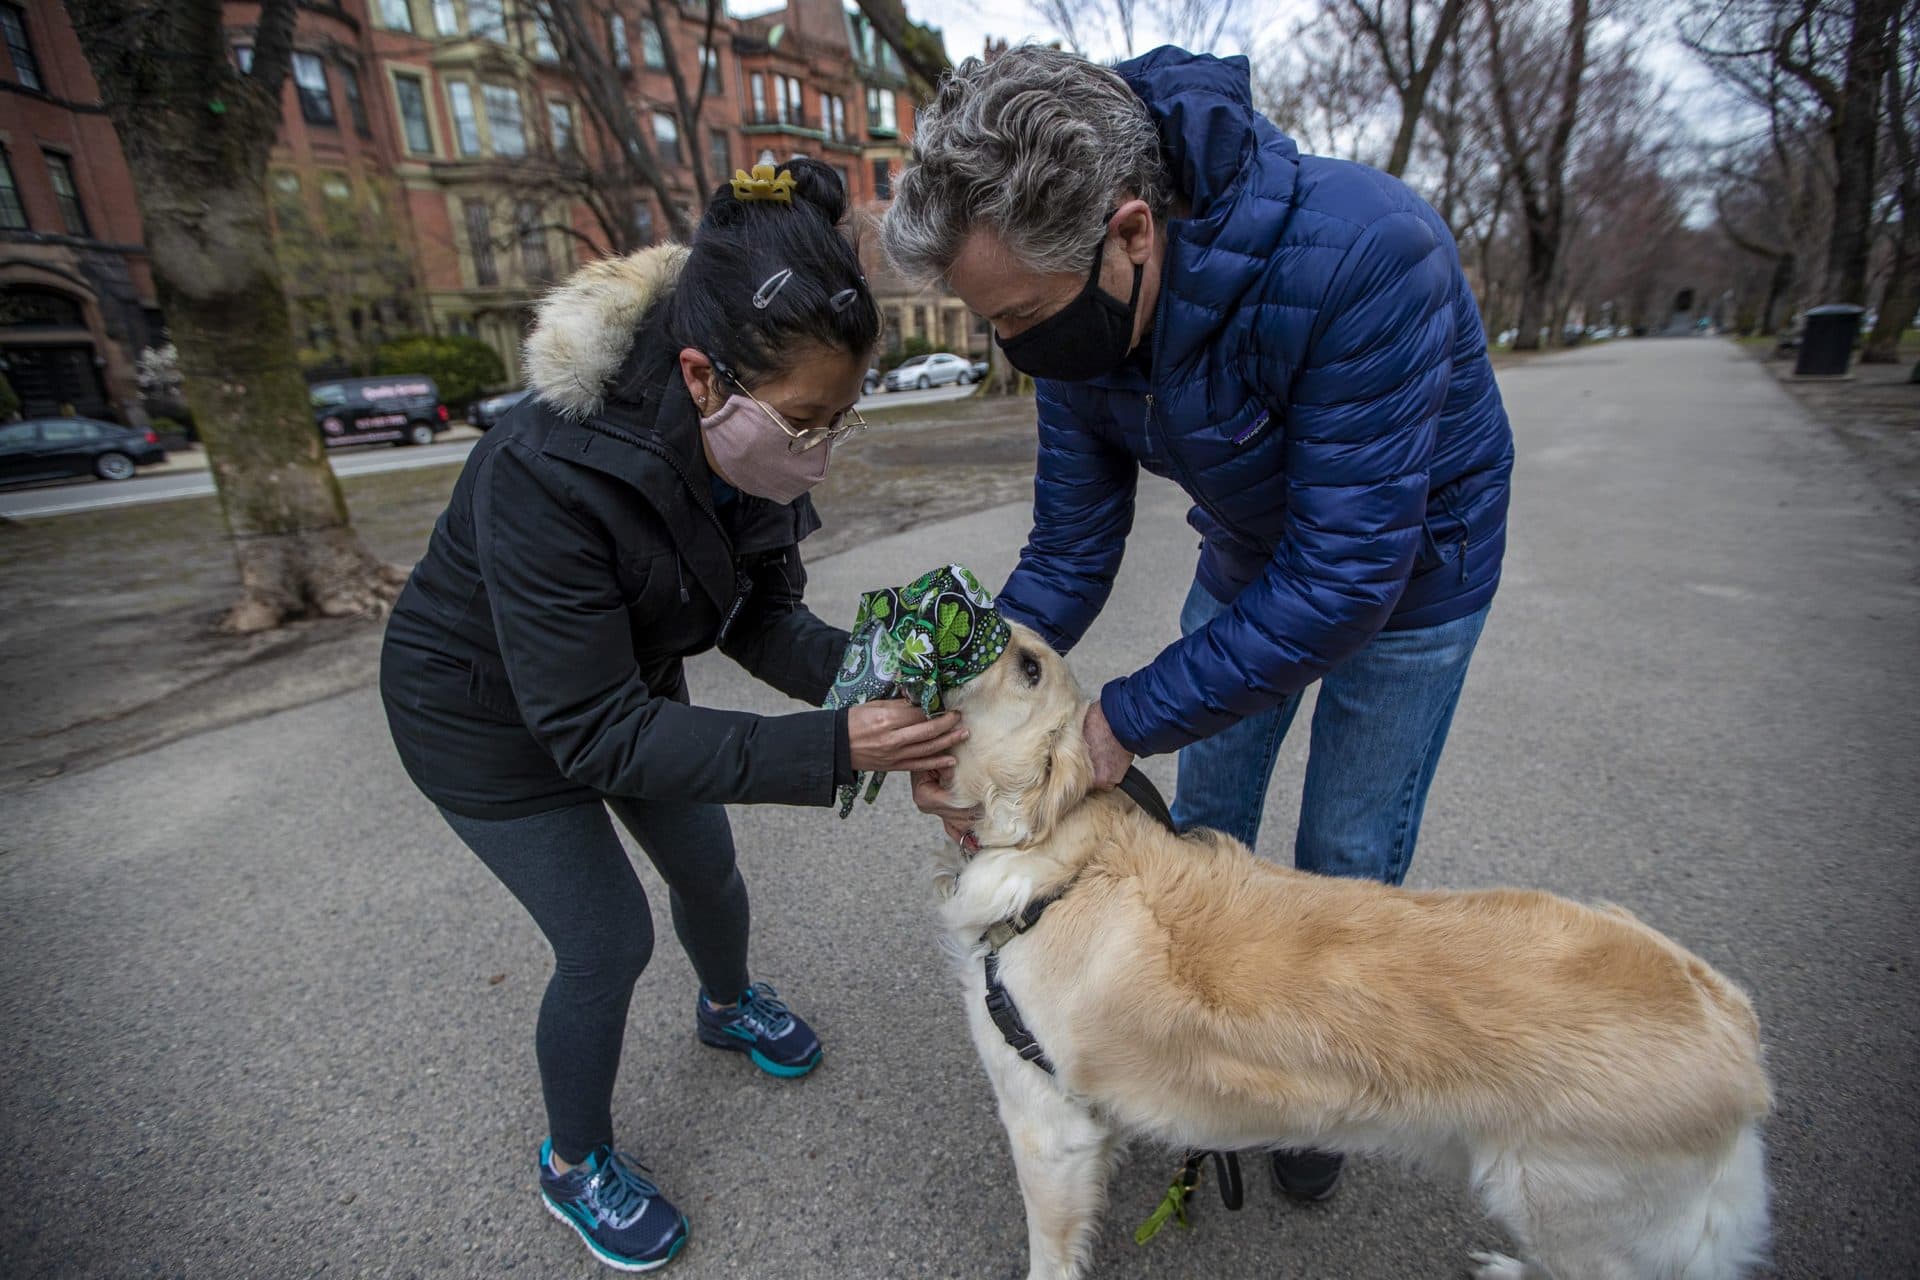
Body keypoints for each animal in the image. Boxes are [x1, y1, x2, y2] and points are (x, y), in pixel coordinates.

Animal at [929, 629, 1766, 1280]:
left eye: (1027, 665)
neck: (1068, 863)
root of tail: (1733, 1028)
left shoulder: (1043, 1129)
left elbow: (1050, 1250)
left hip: (1572, 1216)